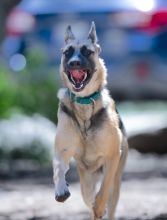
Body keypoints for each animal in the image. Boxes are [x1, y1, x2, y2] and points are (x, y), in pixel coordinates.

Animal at [52, 21, 129, 220]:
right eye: (67, 52)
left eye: (87, 52)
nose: (74, 63)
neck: (84, 102)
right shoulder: (62, 150)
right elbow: (58, 169)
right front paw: (61, 189)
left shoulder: (112, 157)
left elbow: (103, 192)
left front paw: (100, 207)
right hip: (86, 181)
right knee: (88, 197)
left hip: (116, 182)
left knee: (109, 200)